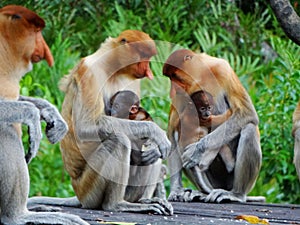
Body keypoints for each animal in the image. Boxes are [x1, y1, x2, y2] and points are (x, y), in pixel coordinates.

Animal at [0, 4, 88, 224]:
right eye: (36, 31)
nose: (45, 50)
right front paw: (33, 119)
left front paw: (51, 114)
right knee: (6, 131)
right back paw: (17, 215)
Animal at [29, 29, 173, 214]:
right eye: (143, 56)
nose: (148, 71)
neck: (114, 67)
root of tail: (79, 195)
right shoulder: (90, 72)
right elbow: (86, 127)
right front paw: (155, 131)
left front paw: (154, 146)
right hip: (89, 188)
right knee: (118, 140)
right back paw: (117, 204)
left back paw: (145, 199)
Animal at [163, 48, 264, 202]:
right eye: (169, 78)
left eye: (175, 77)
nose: (173, 90)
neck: (200, 75)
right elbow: (172, 133)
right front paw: (175, 191)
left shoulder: (223, 70)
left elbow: (247, 113)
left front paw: (195, 152)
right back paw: (202, 192)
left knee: (249, 128)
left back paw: (236, 194)